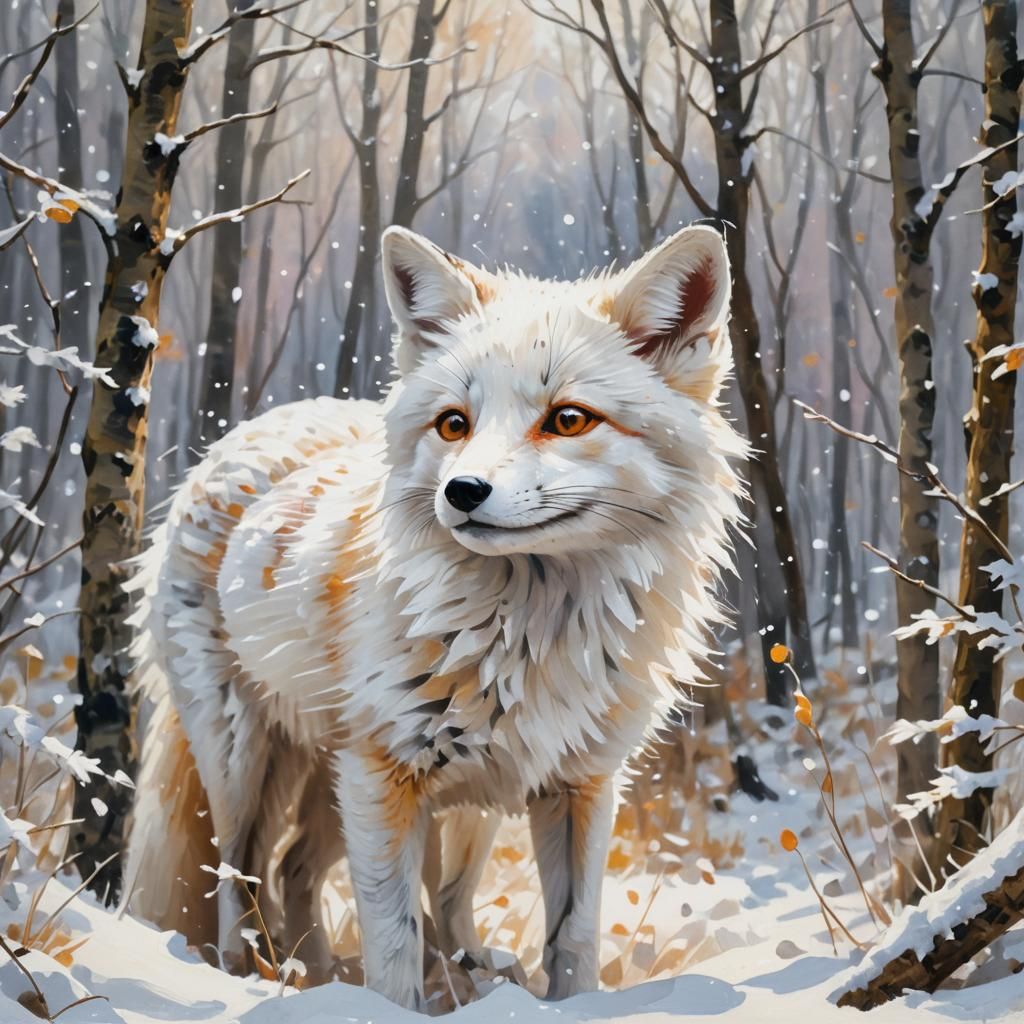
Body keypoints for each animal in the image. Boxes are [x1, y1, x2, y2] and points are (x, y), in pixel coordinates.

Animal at [123, 223, 746, 1010]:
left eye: (568, 420)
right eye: (455, 424)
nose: (463, 491)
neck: (531, 636)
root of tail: (251, 429)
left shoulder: (580, 784)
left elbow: (571, 937)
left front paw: (563, 1005)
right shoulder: (383, 776)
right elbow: (392, 944)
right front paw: (386, 1009)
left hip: (436, 796)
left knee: (353, 879)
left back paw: (378, 973)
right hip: (244, 760)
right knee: (240, 871)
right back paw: (254, 974)